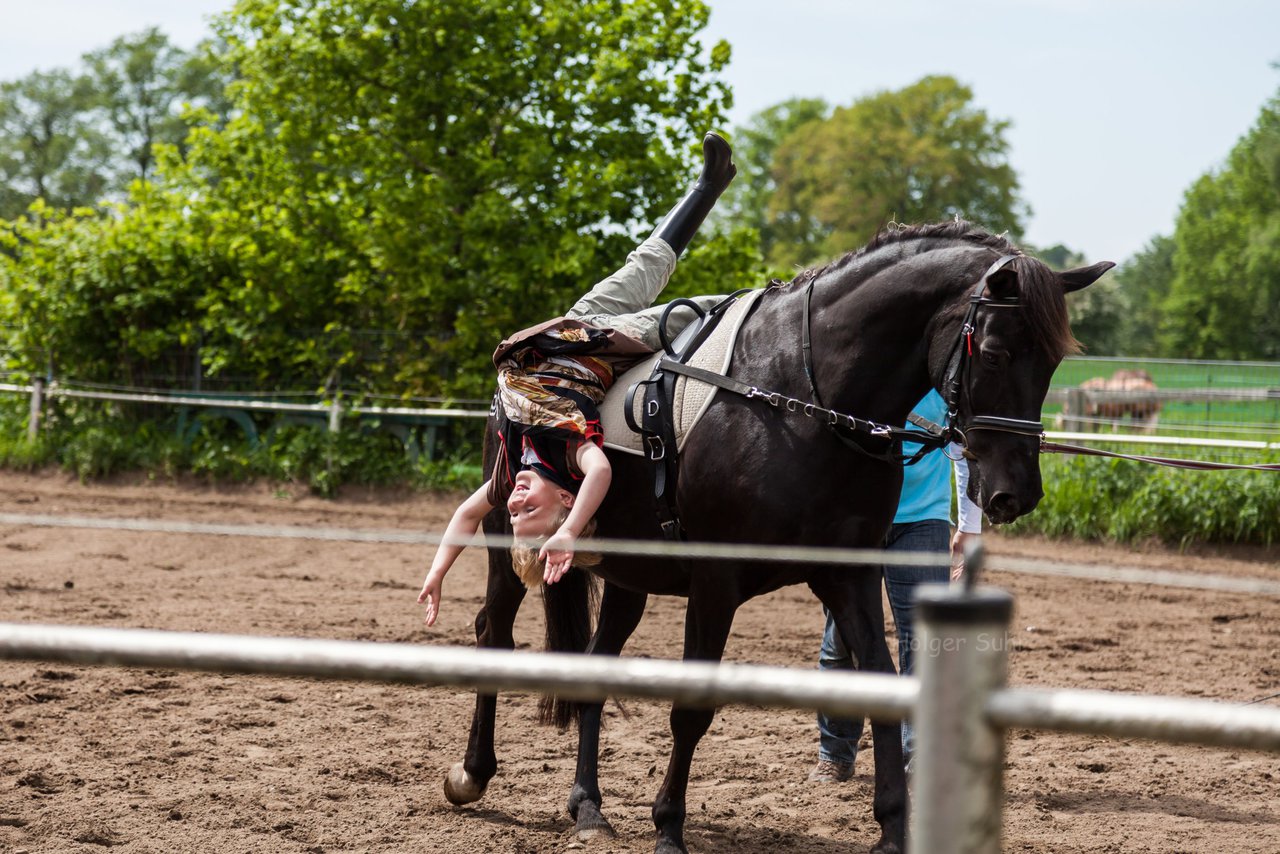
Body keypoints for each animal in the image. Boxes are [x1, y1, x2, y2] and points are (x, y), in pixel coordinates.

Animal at [440, 222, 1111, 854]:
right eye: (994, 354)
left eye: (1052, 362)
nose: (1015, 492)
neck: (803, 399)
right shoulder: (716, 580)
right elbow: (692, 708)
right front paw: (668, 828)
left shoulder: (849, 573)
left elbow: (882, 684)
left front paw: (893, 831)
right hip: (512, 532)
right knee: (493, 631)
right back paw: (472, 774)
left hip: (631, 575)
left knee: (596, 670)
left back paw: (587, 807)